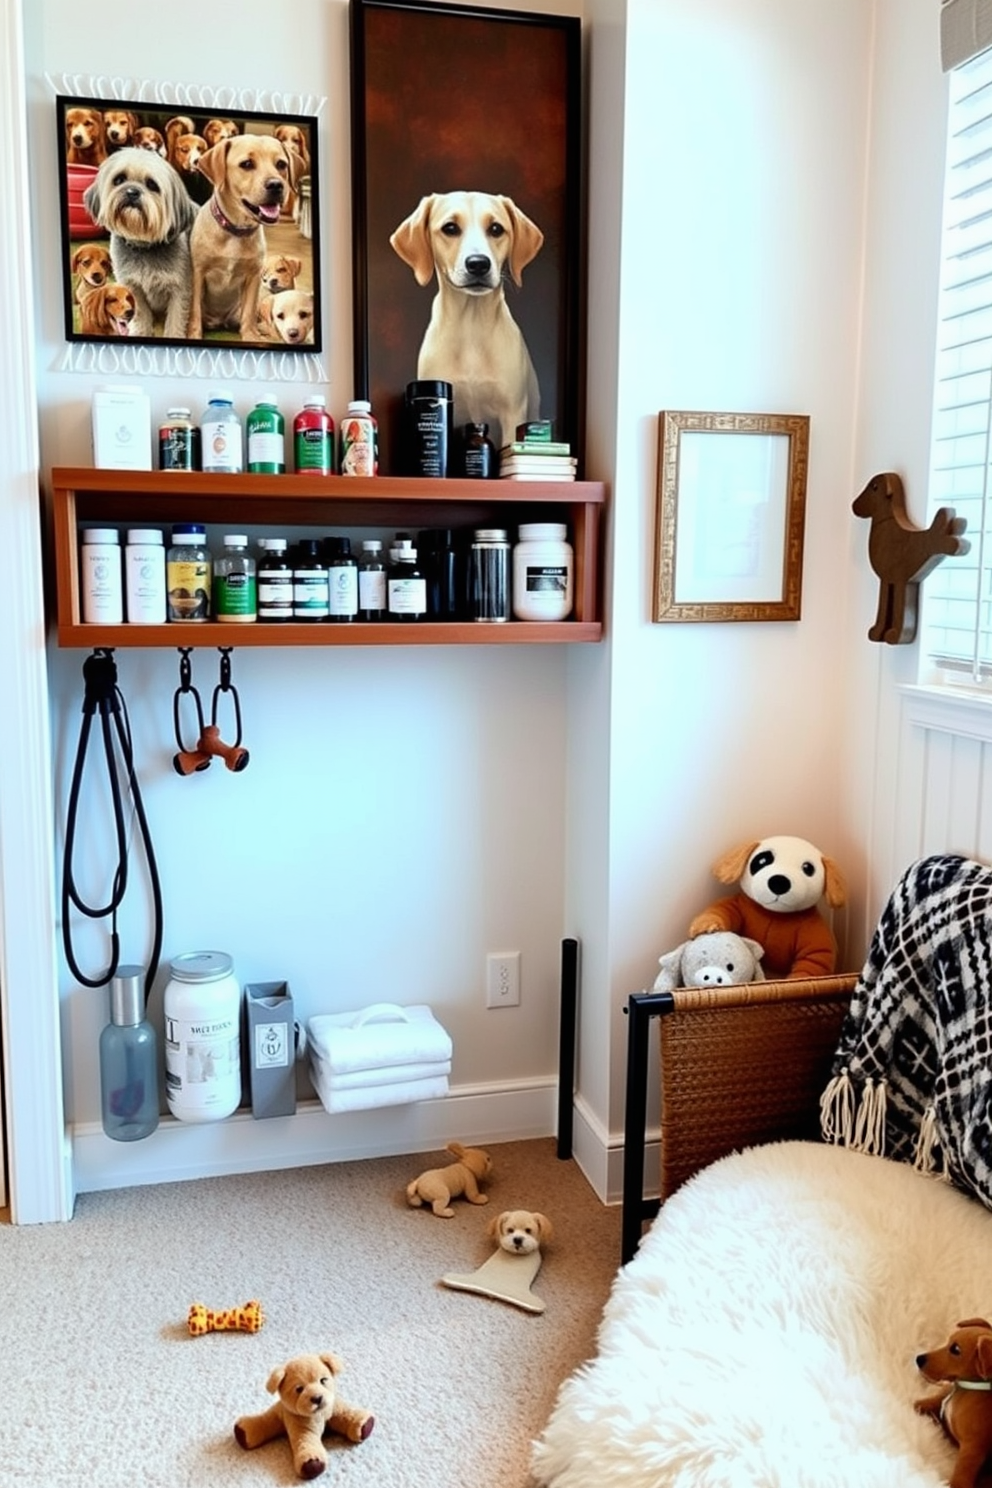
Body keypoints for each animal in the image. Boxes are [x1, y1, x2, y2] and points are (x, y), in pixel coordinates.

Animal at [84, 147, 196, 337]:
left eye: (152, 184)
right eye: (119, 179)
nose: (132, 192)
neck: (144, 246)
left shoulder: (179, 290)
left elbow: (175, 320)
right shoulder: (133, 288)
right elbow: (141, 315)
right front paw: (140, 332)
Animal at [185, 133, 303, 340]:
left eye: (281, 164)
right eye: (247, 164)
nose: (276, 185)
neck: (235, 230)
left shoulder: (253, 276)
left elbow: (249, 312)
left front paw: (251, 336)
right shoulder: (198, 273)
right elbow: (195, 311)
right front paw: (193, 334)